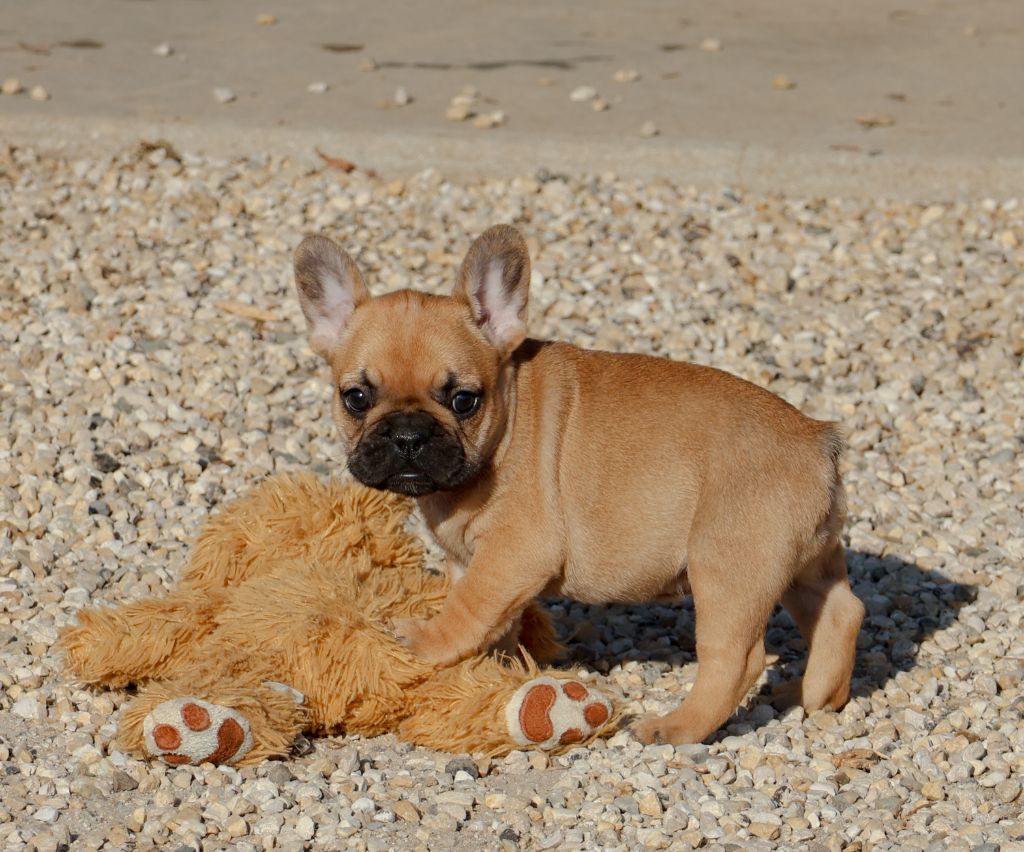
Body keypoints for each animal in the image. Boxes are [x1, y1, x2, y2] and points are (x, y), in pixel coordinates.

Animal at [296, 226, 864, 745]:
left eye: (463, 400)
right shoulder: (472, 561)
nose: (408, 435)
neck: (503, 428)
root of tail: (817, 440)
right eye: (356, 398)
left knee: (738, 660)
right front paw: (493, 674)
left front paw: (427, 642)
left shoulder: (512, 553)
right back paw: (808, 695)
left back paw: (676, 727)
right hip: (797, 560)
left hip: (729, 569)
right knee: (840, 611)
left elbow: (468, 607)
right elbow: (492, 620)